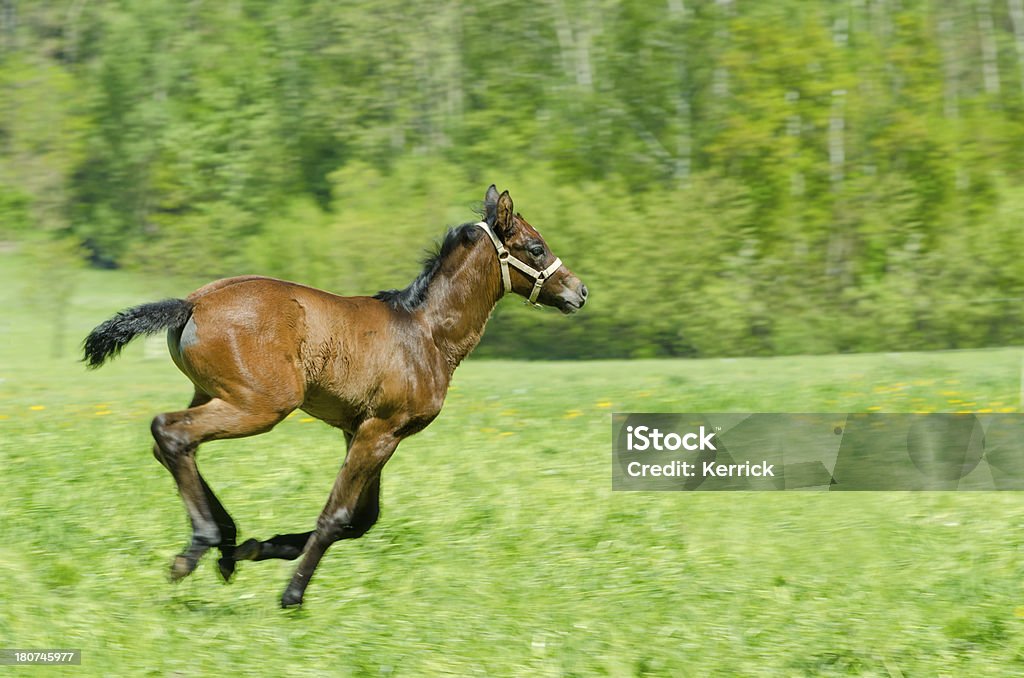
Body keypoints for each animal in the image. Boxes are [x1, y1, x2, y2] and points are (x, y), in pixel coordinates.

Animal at [83, 187, 589, 610]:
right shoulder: (380, 431)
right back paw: (202, 544)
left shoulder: (359, 431)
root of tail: (192, 304)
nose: (579, 291)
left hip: (212, 393)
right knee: (170, 432)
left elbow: (361, 519)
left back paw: (227, 543)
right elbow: (338, 515)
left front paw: (259, 548)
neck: (425, 332)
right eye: (536, 247)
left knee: (173, 444)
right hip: (261, 405)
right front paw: (292, 594)